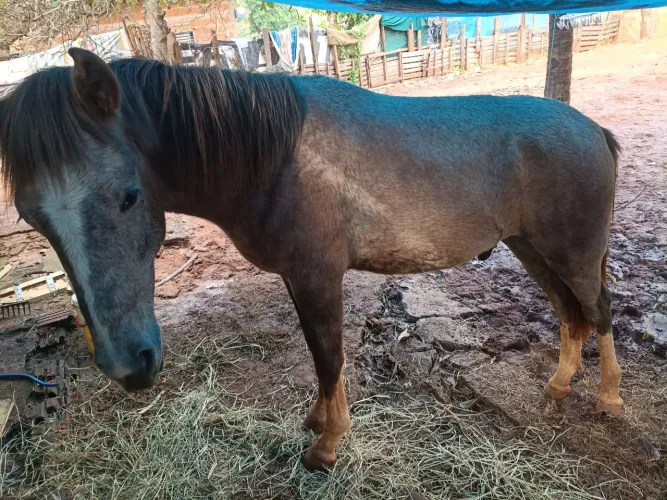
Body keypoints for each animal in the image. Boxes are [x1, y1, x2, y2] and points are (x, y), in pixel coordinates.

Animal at [0, 48, 622, 470]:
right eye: (32, 217)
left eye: (128, 195)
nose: (129, 364)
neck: (276, 158)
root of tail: (593, 129)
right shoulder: (298, 280)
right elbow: (319, 357)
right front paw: (317, 421)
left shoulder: (318, 276)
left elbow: (328, 356)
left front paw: (326, 445)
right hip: (533, 249)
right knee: (570, 315)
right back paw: (557, 387)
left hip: (574, 253)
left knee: (599, 312)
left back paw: (609, 398)